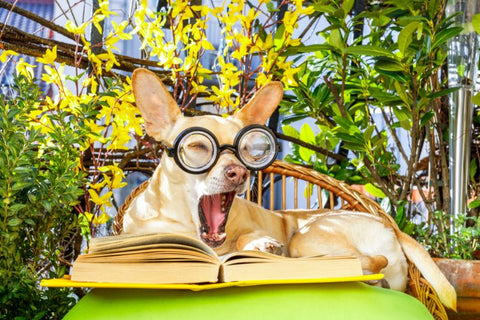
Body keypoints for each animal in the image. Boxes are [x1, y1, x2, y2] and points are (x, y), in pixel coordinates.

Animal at [122, 67, 456, 310]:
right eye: (198, 146)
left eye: (245, 149)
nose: (239, 172)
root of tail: (391, 226)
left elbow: (244, 239)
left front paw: (259, 245)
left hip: (305, 238)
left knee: (368, 262)